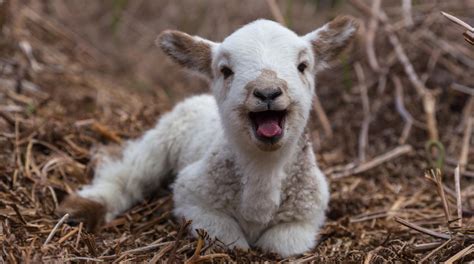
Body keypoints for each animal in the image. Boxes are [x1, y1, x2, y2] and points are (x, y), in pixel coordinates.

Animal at [57, 15, 358, 256]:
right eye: (225, 70)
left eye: (303, 66)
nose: (267, 92)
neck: (263, 169)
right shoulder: (192, 197)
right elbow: (230, 239)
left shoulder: (308, 213)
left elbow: (280, 245)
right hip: (165, 135)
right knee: (129, 171)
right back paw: (83, 207)